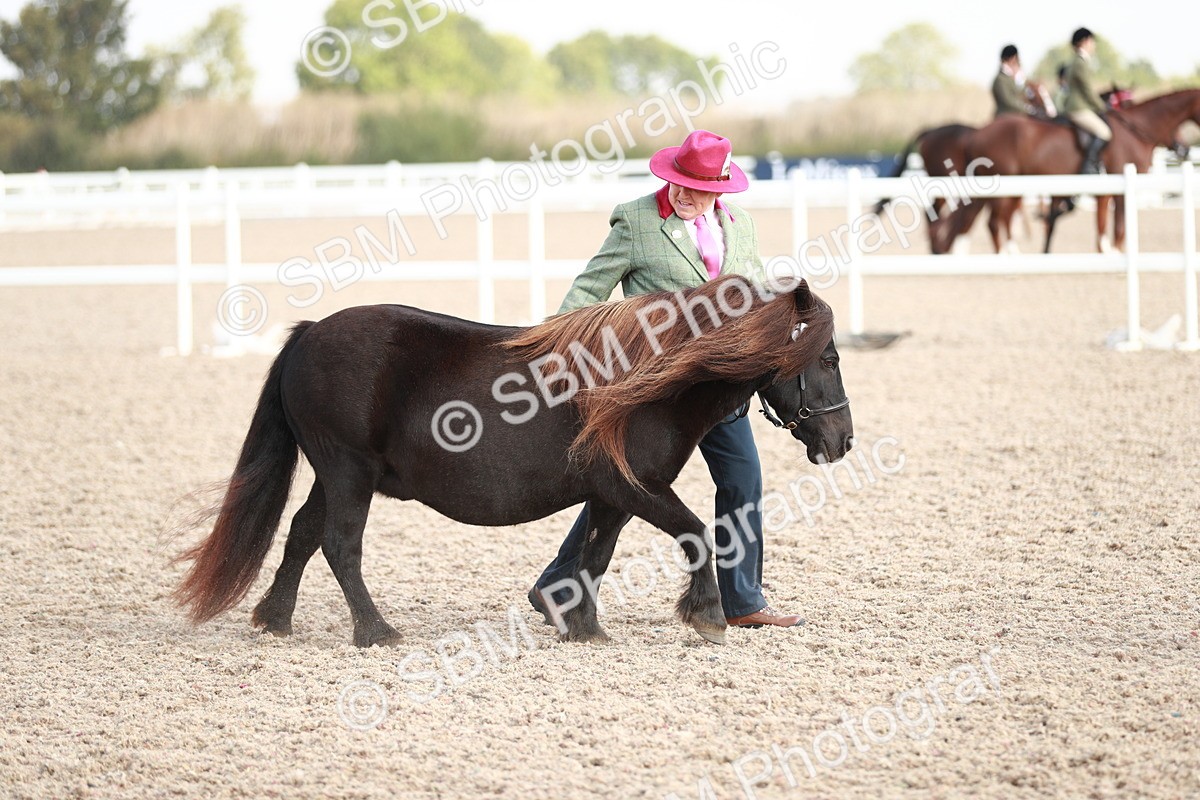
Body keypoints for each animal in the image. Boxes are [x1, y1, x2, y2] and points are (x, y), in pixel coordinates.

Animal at [173, 276, 854, 648]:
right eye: (828, 358)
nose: (842, 440)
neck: (649, 382)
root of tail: (308, 335)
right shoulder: (636, 488)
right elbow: (695, 534)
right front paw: (709, 615)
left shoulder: (611, 496)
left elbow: (595, 557)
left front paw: (584, 626)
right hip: (349, 472)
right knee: (339, 545)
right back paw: (375, 631)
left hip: (337, 474)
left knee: (302, 533)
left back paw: (275, 619)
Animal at [934, 89, 1200, 254]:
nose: (1184, 148)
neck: (1134, 130)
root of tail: (977, 133)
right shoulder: (1115, 189)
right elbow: (1117, 226)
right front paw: (1112, 252)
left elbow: (1103, 224)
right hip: (1005, 186)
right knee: (995, 222)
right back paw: (1006, 255)